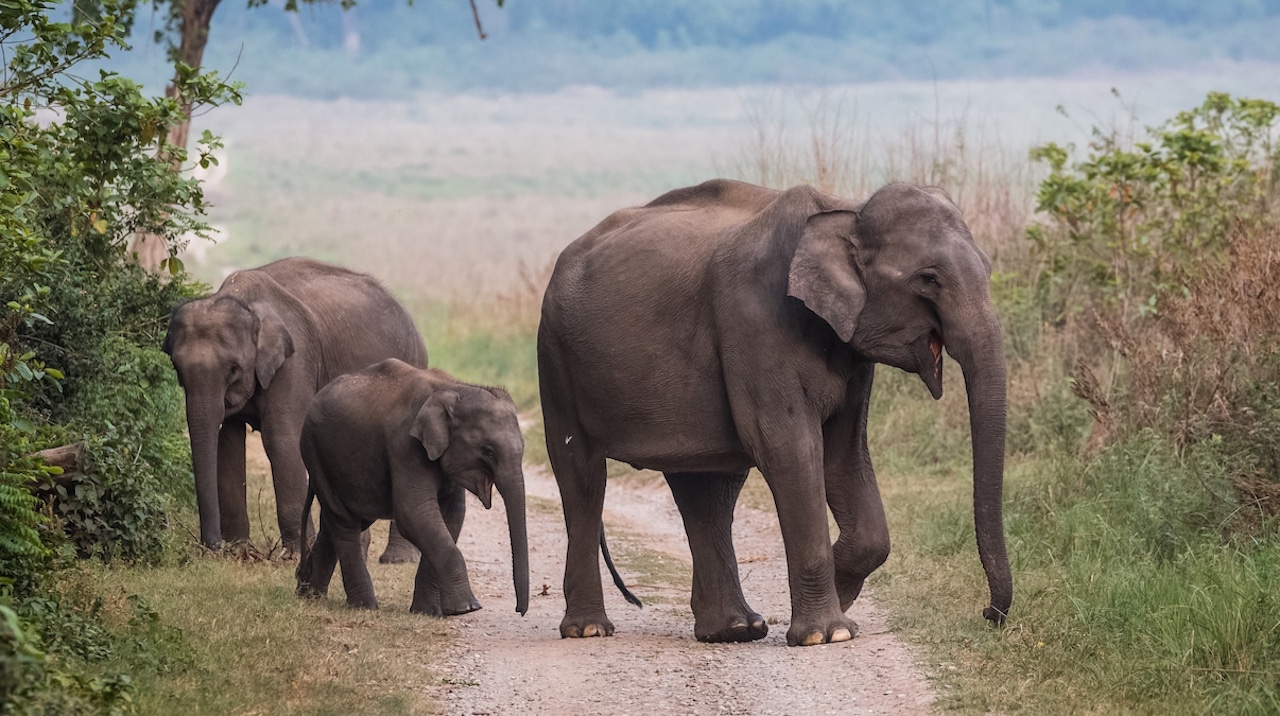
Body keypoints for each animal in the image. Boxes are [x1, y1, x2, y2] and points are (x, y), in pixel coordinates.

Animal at [162, 257, 424, 561]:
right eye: (176, 368)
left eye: (234, 369)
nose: (212, 547)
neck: (242, 300)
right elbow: (227, 443)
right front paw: (238, 551)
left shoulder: (295, 362)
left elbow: (281, 439)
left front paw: (295, 555)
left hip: (414, 361)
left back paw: (397, 558)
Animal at [295, 358, 529, 617]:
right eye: (488, 451)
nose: (519, 610)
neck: (454, 387)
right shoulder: (405, 444)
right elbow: (414, 514)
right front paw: (467, 608)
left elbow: (451, 516)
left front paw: (427, 612)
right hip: (314, 450)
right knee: (344, 522)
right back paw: (364, 606)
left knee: (342, 519)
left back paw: (309, 595)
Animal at [537, 179, 1008, 650]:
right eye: (928, 279)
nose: (989, 614)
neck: (846, 207)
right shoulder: (757, 323)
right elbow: (789, 450)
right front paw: (828, 633)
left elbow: (844, 457)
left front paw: (838, 594)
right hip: (555, 359)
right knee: (582, 478)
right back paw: (589, 629)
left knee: (707, 491)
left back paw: (734, 629)